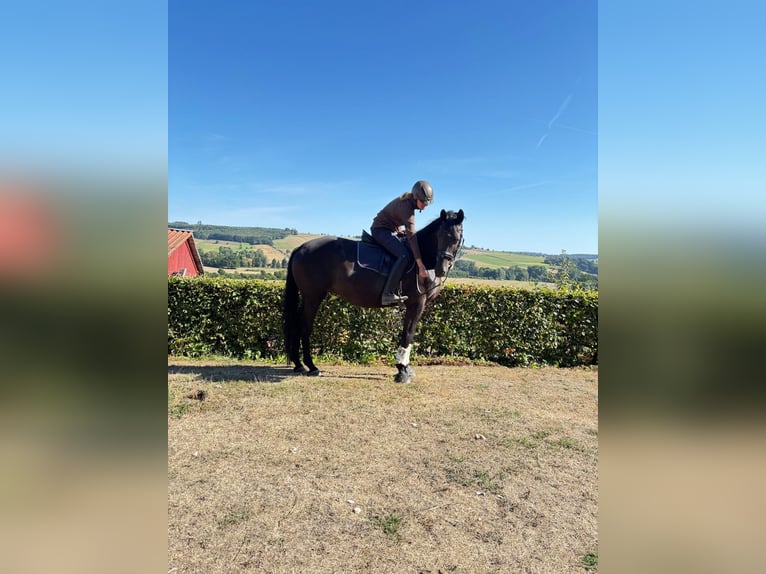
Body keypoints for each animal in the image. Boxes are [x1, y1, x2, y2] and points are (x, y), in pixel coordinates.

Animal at [283, 209, 464, 383]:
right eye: (440, 236)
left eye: (457, 238)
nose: (442, 269)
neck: (423, 259)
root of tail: (301, 248)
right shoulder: (416, 303)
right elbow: (408, 334)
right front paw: (402, 370)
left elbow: (408, 335)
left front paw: (405, 367)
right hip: (313, 297)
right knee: (305, 326)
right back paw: (311, 366)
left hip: (307, 297)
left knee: (297, 324)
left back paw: (299, 364)